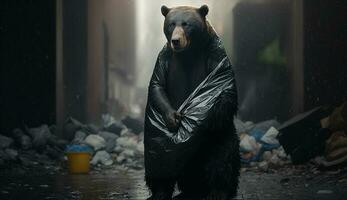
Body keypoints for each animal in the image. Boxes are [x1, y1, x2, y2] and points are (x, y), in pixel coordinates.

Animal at [145, 4, 241, 200]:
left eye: (186, 24)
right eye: (171, 24)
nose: (175, 40)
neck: (188, 54)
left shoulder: (215, 54)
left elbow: (223, 88)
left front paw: (202, 120)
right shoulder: (165, 58)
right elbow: (157, 86)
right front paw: (173, 118)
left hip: (223, 136)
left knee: (223, 160)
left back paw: (218, 192)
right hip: (158, 145)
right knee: (158, 161)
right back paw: (163, 192)